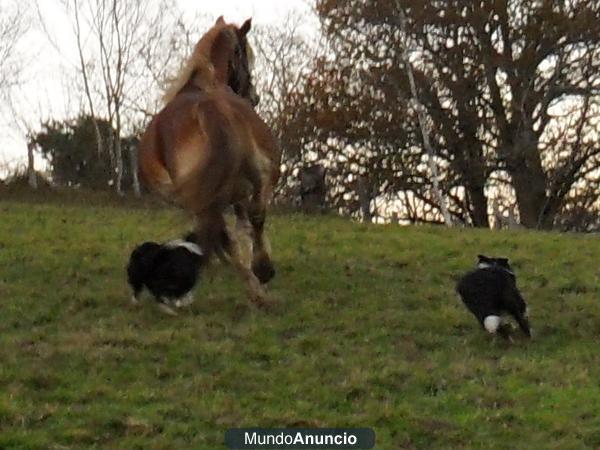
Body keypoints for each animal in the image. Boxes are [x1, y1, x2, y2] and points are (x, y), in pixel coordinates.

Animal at [138, 16, 282, 306]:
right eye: (246, 54)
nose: (254, 97)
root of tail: (206, 112)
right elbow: (251, 221)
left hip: (203, 199)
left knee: (221, 234)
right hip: (256, 175)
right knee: (252, 217)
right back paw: (261, 277)